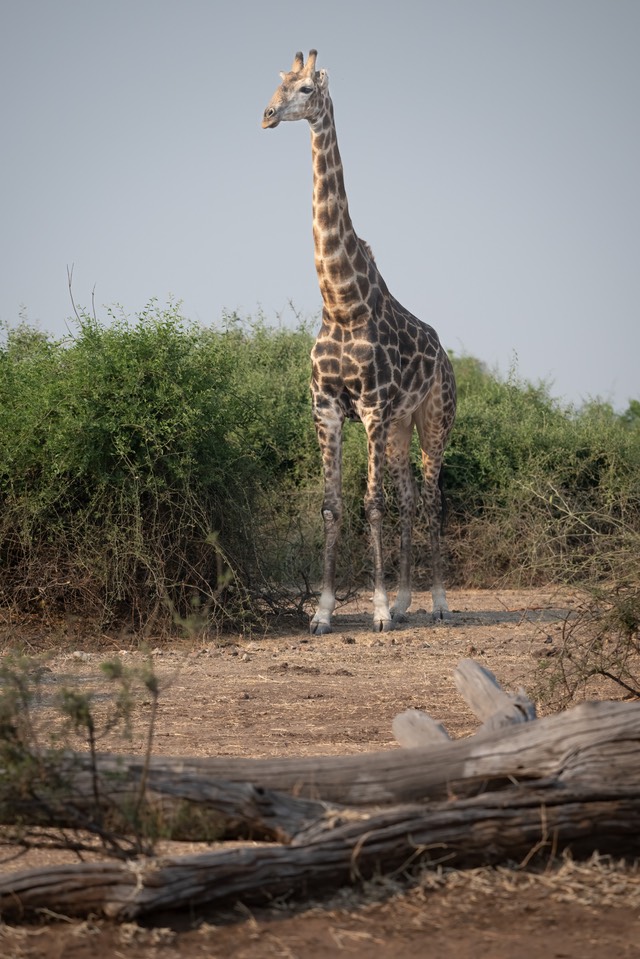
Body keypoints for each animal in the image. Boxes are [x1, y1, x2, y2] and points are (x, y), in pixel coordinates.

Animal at [262, 52, 458, 636]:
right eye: (276, 85)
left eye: (306, 88)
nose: (267, 115)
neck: (341, 303)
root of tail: (446, 357)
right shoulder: (326, 408)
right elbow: (332, 505)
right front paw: (324, 613)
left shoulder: (370, 408)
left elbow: (371, 503)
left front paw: (374, 611)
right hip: (398, 427)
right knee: (410, 497)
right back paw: (406, 601)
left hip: (433, 419)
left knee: (433, 499)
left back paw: (437, 604)